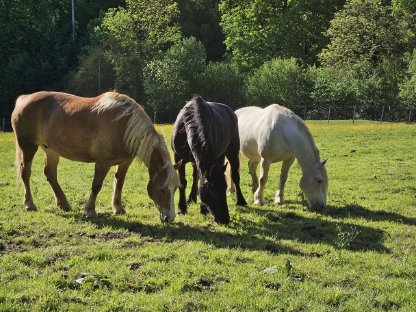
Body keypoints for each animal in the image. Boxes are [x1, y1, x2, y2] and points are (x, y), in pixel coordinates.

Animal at [11, 91, 180, 223]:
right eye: (163, 189)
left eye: (176, 188)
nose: (169, 218)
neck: (123, 125)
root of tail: (24, 98)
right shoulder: (102, 163)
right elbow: (96, 185)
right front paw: (90, 211)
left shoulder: (125, 162)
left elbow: (120, 183)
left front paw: (118, 208)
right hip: (28, 147)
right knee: (25, 172)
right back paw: (29, 204)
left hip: (51, 150)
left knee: (50, 173)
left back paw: (64, 203)